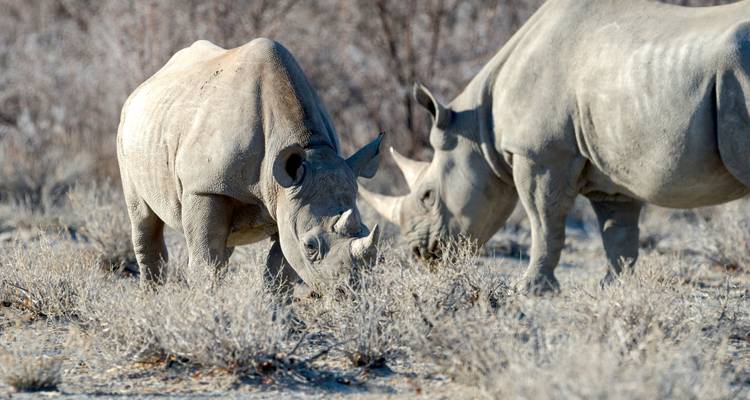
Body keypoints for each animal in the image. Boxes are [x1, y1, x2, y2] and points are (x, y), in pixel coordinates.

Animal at [117, 38, 382, 292]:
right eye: (310, 246)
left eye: (365, 229)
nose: (348, 291)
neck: (309, 147)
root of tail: (141, 88)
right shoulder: (204, 188)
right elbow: (205, 263)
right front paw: (207, 301)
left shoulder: (287, 199)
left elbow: (280, 273)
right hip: (128, 129)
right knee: (144, 220)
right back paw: (151, 297)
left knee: (223, 248)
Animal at [363, 0, 750, 294]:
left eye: (428, 196)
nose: (418, 252)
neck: (480, 129)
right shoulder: (614, 173)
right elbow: (619, 234)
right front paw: (612, 288)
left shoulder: (540, 153)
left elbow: (545, 223)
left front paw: (530, 289)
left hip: (739, 76)